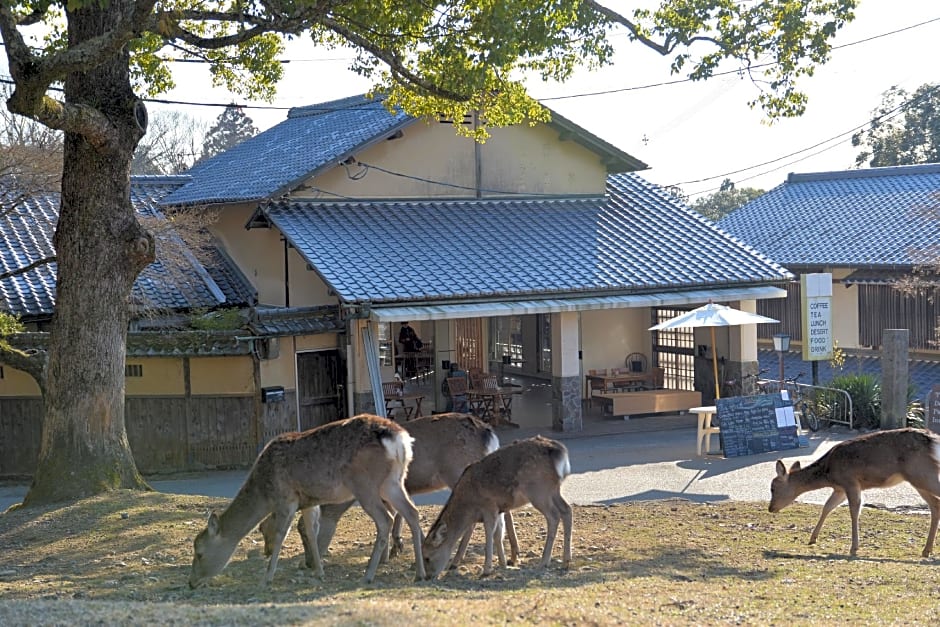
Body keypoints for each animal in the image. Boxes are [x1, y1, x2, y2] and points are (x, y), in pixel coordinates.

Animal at [189, 414, 424, 588]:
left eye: (199, 553)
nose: (191, 583)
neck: (264, 491)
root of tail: (399, 439)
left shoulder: (286, 498)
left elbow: (281, 535)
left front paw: (267, 578)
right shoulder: (309, 502)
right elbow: (311, 531)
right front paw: (319, 572)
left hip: (365, 484)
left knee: (386, 519)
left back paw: (368, 575)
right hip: (393, 481)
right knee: (412, 512)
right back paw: (420, 573)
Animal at [258, 414, 520, 572]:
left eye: (303, 532)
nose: (308, 563)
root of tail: (489, 435)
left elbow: (394, 516)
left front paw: (396, 551)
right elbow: (398, 515)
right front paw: (394, 549)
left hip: (458, 471)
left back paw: (458, 560)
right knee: (503, 510)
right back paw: (513, 554)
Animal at [420, 436, 568, 580]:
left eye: (427, 557)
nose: (427, 577)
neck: (469, 505)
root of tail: (560, 453)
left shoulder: (489, 506)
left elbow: (489, 533)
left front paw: (486, 570)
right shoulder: (499, 509)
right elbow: (498, 533)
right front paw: (503, 564)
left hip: (538, 491)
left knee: (554, 516)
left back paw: (544, 562)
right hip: (553, 490)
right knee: (566, 509)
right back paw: (566, 561)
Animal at [768, 430, 940, 556]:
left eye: (773, 488)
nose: (770, 508)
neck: (829, 473)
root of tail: (934, 441)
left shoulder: (850, 481)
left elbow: (854, 511)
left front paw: (853, 548)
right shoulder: (840, 489)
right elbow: (827, 507)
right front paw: (812, 538)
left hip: (922, 474)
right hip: (919, 479)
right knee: (935, 505)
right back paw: (926, 550)